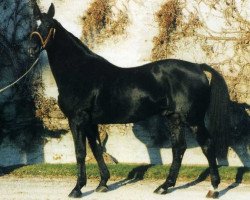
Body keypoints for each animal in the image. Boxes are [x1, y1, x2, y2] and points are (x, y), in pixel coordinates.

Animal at [29, 3, 230, 198]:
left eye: (49, 26)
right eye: (33, 25)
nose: (32, 49)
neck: (79, 72)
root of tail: (198, 67)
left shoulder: (77, 120)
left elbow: (80, 152)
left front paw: (77, 189)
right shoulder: (91, 122)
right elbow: (96, 149)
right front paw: (103, 183)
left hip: (193, 120)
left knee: (207, 146)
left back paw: (213, 188)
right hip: (174, 118)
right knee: (179, 148)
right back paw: (164, 186)